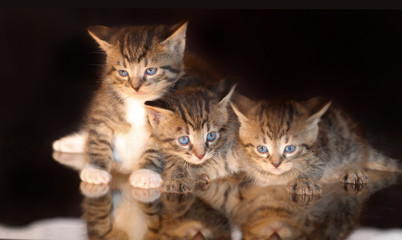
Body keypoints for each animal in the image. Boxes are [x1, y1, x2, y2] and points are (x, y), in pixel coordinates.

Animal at [52, 21, 220, 185]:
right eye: (123, 72)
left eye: (150, 70)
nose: (135, 86)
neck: (138, 102)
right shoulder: (103, 106)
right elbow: (98, 137)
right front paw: (95, 170)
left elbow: (158, 146)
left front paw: (146, 173)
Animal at [231, 97, 400, 195]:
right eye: (262, 149)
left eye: (290, 148)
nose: (276, 164)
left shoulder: (324, 151)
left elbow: (316, 166)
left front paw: (303, 181)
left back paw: (353, 171)